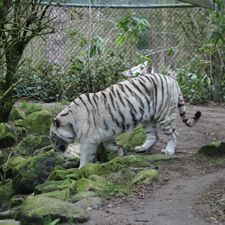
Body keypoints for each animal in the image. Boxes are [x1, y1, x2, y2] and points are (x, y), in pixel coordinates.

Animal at [50, 72, 201, 167]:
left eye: (53, 138)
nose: (55, 151)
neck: (71, 121)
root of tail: (172, 80)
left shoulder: (88, 140)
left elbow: (85, 158)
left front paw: (81, 170)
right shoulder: (106, 134)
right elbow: (109, 146)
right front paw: (121, 151)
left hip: (165, 116)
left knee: (173, 135)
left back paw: (169, 151)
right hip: (147, 119)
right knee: (153, 136)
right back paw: (141, 148)